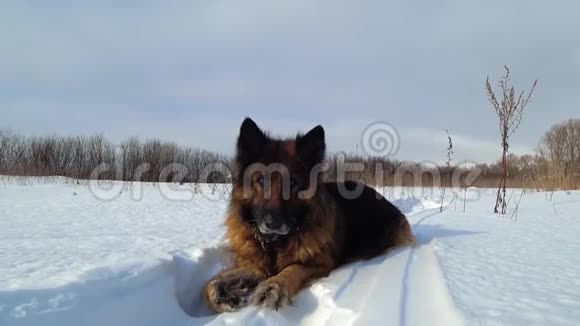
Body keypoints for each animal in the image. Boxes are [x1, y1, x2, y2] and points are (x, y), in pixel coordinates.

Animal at [203, 118, 412, 314]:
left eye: (292, 183)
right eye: (261, 180)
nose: (273, 224)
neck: (274, 244)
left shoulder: (320, 264)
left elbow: (293, 269)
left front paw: (273, 287)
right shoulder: (255, 267)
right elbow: (210, 284)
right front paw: (223, 296)